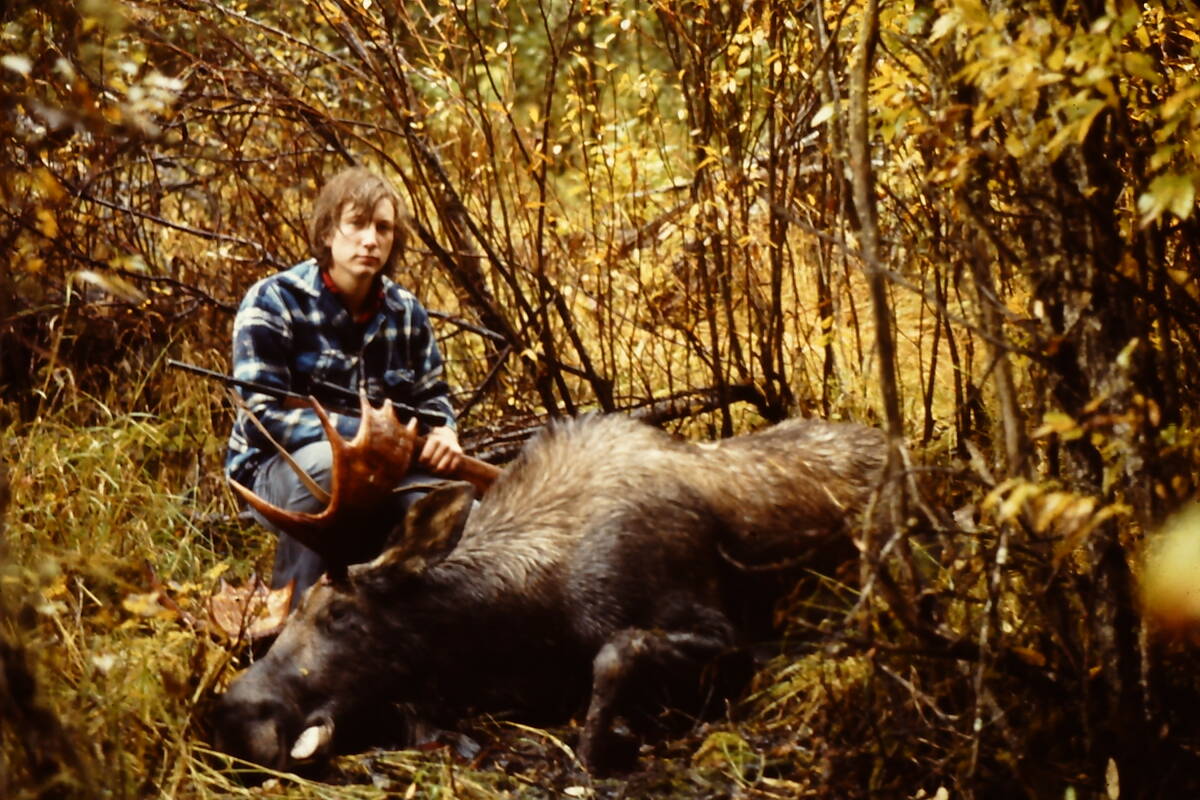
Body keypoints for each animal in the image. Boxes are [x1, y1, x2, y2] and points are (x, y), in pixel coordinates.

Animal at [211, 410, 888, 772]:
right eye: (296, 608)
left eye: (340, 614)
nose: (234, 713)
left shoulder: (723, 629)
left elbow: (615, 651)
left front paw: (597, 744)